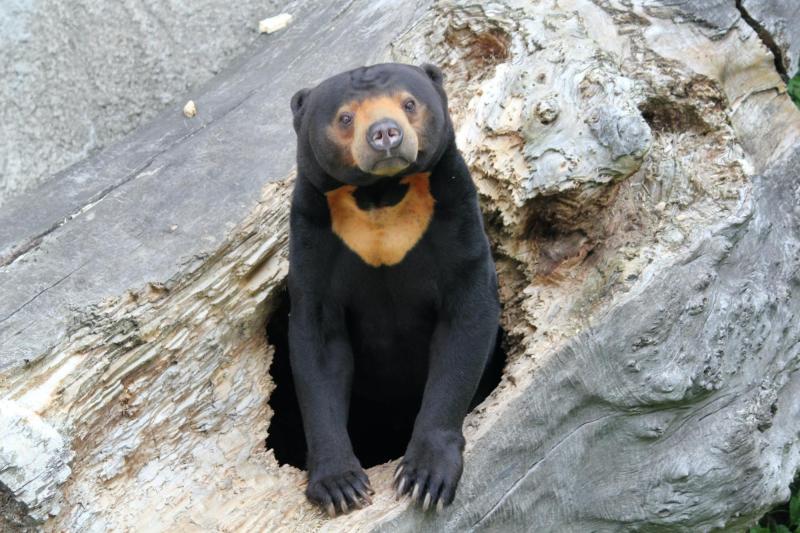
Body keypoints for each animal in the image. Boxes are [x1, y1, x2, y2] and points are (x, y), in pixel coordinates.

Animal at [288, 62, 500, 516]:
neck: (380, 196)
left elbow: (467, 319)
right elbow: (318, 349)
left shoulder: (452, 208)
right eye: (345, 117)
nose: (385, 133)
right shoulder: (314, 233)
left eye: (409, 103)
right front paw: (340, 486)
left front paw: (424, 479)